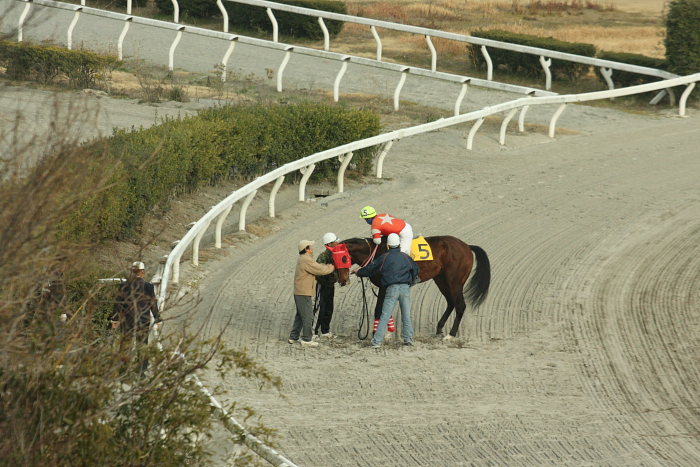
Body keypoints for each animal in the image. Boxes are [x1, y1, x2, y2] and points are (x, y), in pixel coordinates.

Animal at [336, 236, 490, 338]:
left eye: (342, 258)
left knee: (460, 305)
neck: (376, 252)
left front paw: (376, 333)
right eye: (333, 259)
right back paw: (439, 329)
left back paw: (451, 334)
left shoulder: (384, 286)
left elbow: (379, 309)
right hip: (441, 279)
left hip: (455, 281)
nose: (342, 280)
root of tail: (467, 246)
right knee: (451, 302)